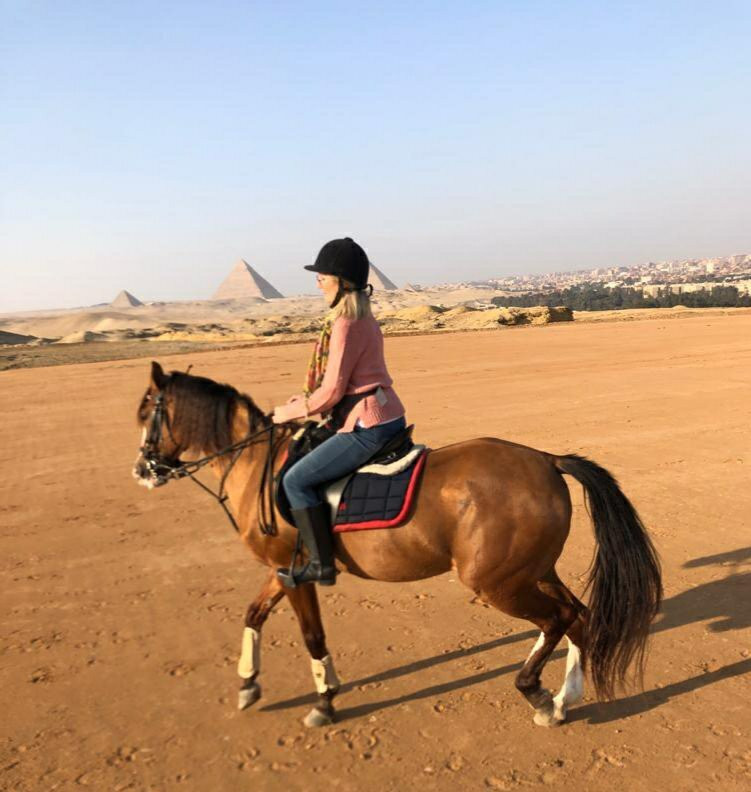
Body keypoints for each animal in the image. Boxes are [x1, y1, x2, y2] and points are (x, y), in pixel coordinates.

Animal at [132, 361, 662, 728]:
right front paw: (247, 684)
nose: (142, 470)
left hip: (497, 583)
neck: (260, 464)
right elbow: (253, 614)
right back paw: (565, 697)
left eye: (146, 413)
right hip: (531, 571)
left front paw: (324, 701)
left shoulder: (298, 572)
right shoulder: (283, 569)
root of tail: (547, 460)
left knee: (561, 618)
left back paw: (539, 695)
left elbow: (312, 636)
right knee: (579, 617)